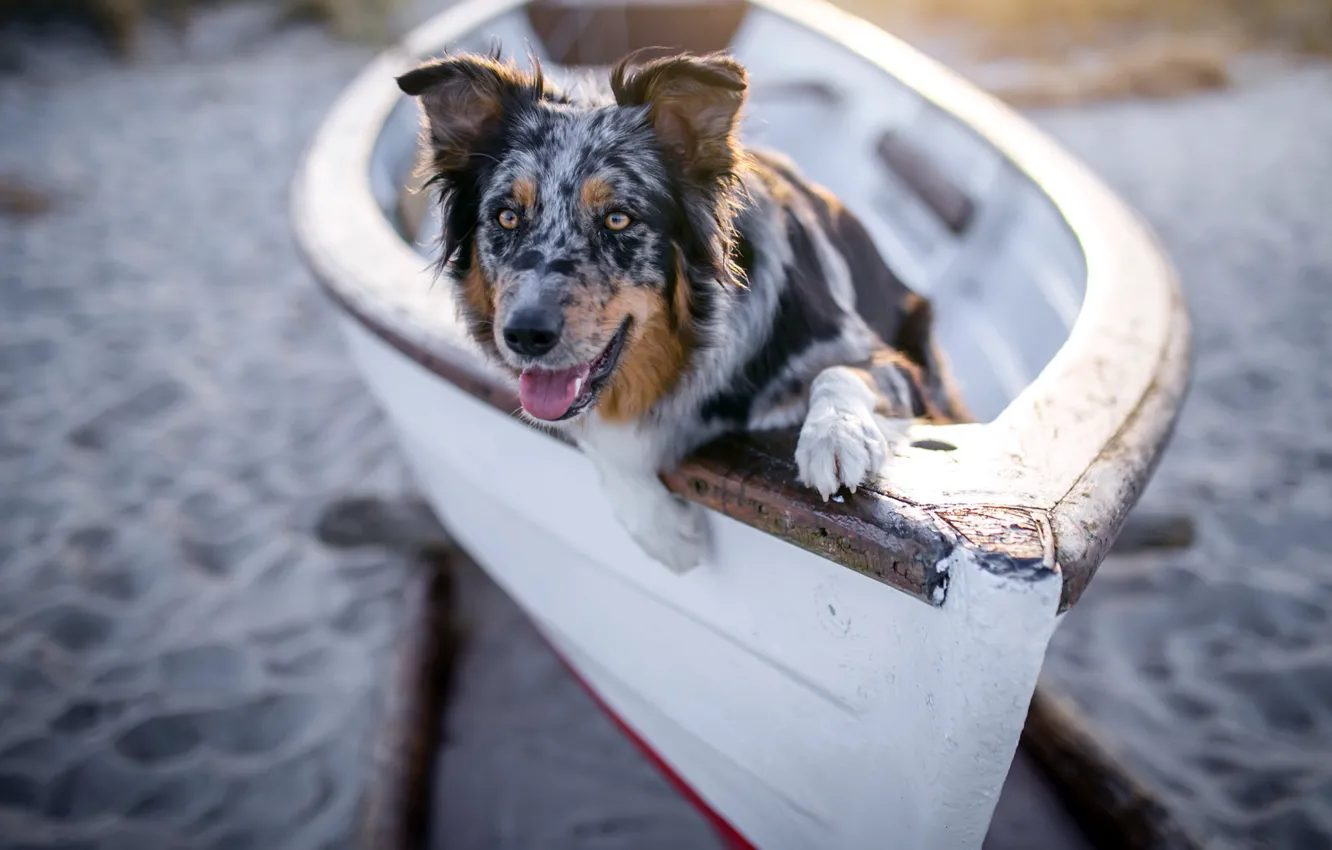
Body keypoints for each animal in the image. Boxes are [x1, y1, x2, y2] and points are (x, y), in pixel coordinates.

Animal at [394, 49, 969, 575]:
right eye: (507, 217)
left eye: (619, 218)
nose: (525, 335)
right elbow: (602, 437)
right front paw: (663, 530)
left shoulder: (888, 364)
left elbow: (839, 372)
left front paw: (835, 437)